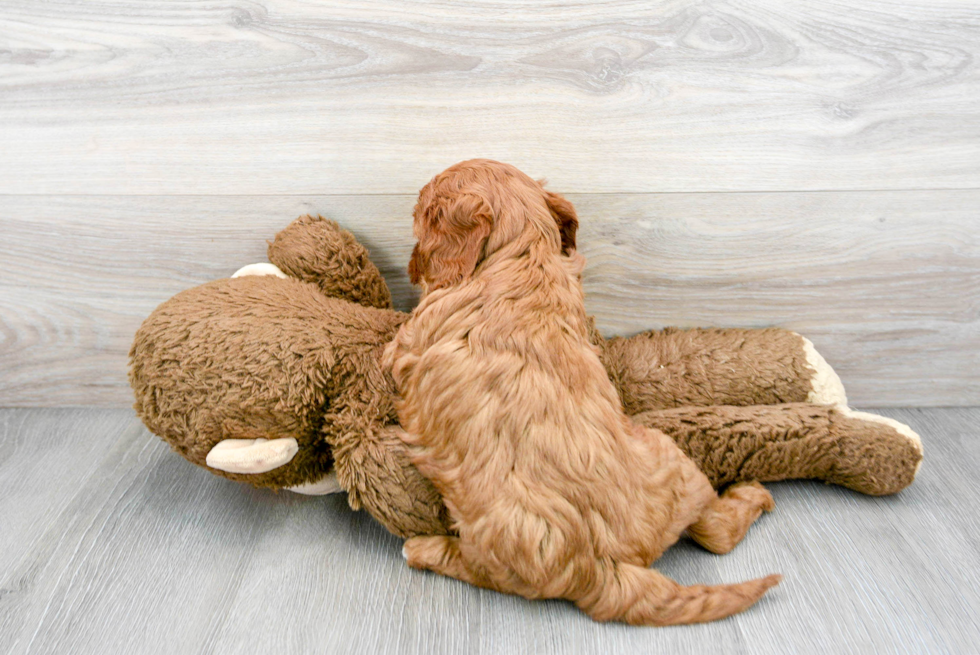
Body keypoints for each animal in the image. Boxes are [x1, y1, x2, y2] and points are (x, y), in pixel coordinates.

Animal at [382, 159, 780, 624]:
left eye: (419, 217)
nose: (411, 269)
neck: (522, 257)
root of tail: (600, 565)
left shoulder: (405, 345)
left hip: (491, 551)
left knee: (469, 565)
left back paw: (421, 549)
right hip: (675, 463)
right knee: (716, 531)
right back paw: (754, 493)